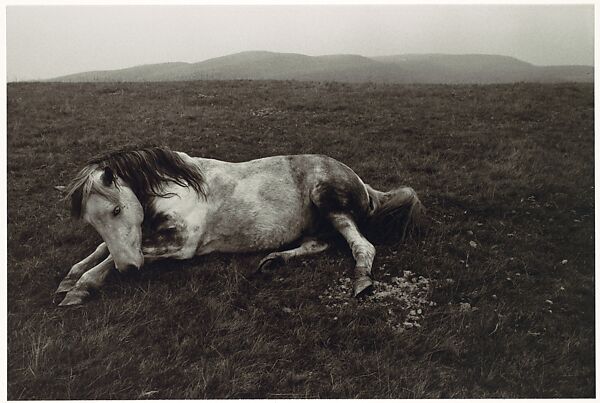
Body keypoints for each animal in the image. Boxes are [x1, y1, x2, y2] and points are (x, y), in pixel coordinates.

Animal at [55, 147, 422, 308]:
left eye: (117, 209)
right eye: (93, 221)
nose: (129, 268)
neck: (180, 188)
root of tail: (362, 183)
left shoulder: (181, 245)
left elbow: (116, 257)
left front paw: (80, 287)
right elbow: (103, 248)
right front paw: (70, 278)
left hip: (331, 206)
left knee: (362, 246)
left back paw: (362, 281)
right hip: (318, 224)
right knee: (319, 244)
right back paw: (273, 261)